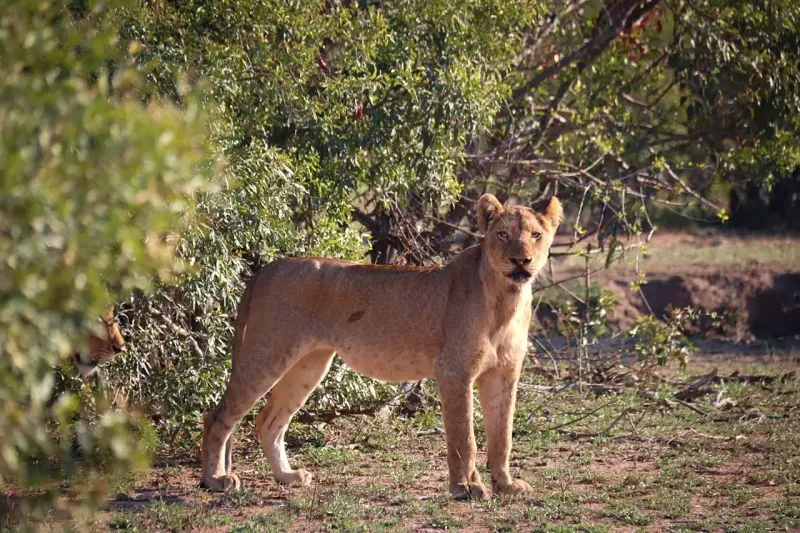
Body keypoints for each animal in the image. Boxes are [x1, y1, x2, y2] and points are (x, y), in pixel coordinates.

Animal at [201, 194, 562, 500]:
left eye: (535, 235)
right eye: (502, 234)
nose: (521, 260)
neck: (506, 300)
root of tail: (269, 268)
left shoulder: (504, 374)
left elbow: (503, 435)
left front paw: (506, 484)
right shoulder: (454, 371)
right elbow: (464, 438)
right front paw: (465, 488)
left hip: (308, 365)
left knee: (269, 421)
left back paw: (287, 477)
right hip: (268, 352)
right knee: (217, 415)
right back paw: (215, 480)